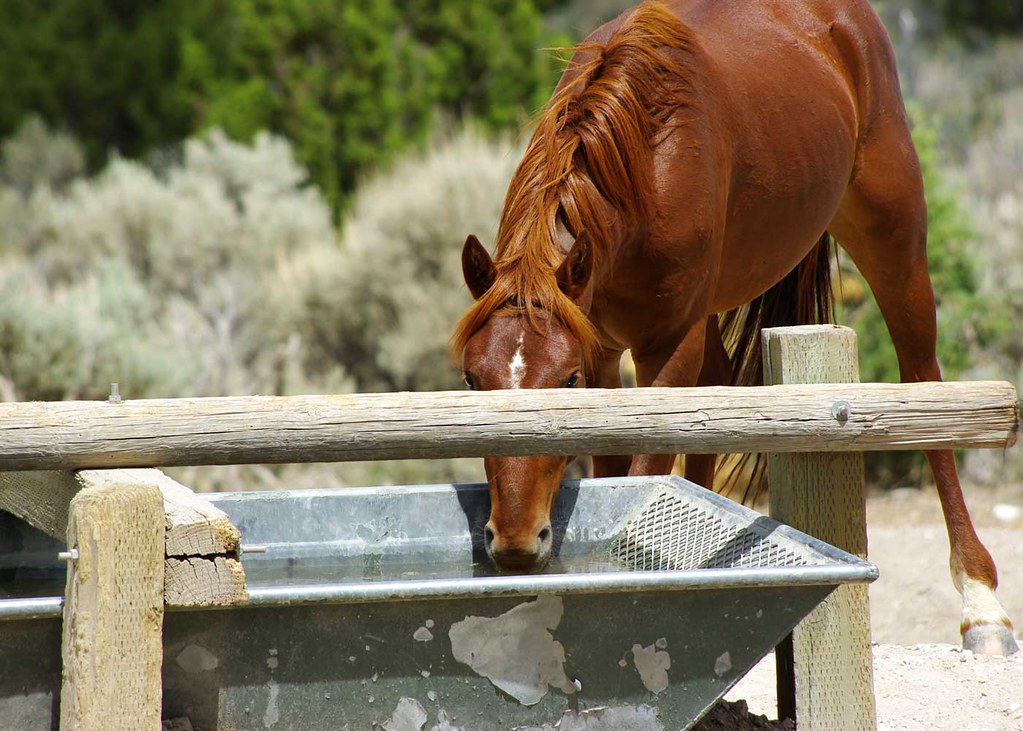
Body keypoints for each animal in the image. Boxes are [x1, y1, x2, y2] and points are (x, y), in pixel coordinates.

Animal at [450, 0, 1017, 655]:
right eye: (471, 380)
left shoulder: (664, 348)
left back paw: (981, 604)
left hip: (893, 232)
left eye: (564, 382)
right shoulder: (604, 348)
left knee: (923, 377)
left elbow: (644, 473)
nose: (516, 545)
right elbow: (618, 467)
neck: (644, 162)